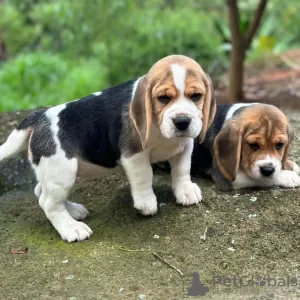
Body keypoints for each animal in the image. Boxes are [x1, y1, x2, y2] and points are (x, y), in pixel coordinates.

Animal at [0, 54, 216, 241]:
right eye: (163, 98)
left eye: (196, 96)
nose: (182, 121)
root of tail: (38, 117)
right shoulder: (134, 155)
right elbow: (144, 176)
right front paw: (146, 202)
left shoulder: (184, 145)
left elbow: (182, 169)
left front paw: (185, 191)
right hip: (62, 171)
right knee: (49, 203)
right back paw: (71, 228)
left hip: (53, 171)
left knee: (41, 192)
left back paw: (73, 211)